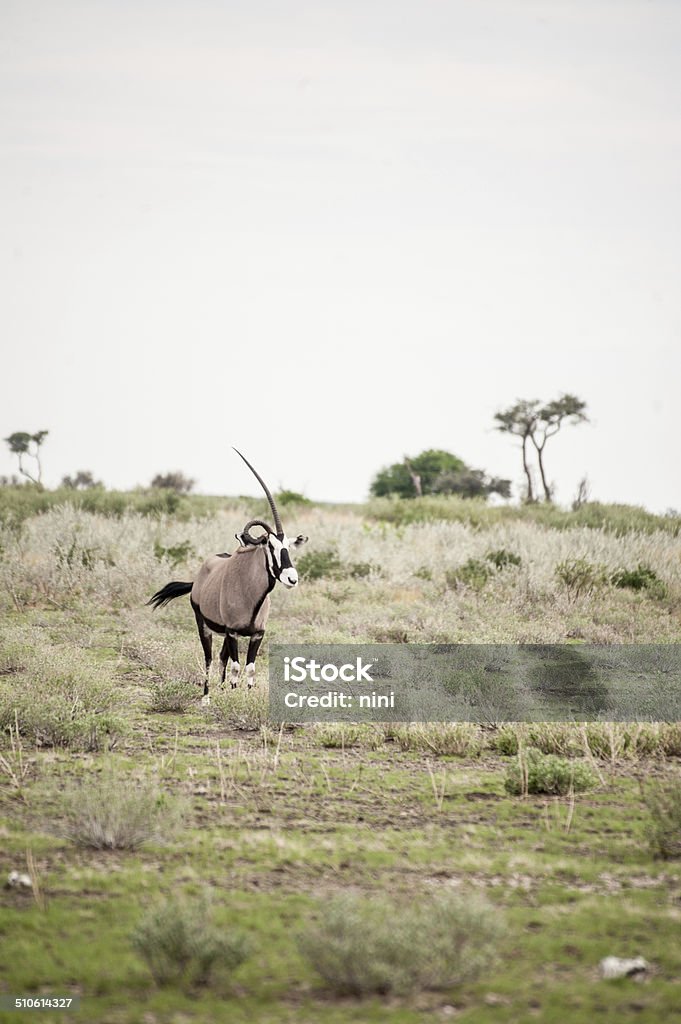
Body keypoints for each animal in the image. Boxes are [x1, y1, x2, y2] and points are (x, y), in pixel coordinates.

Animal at [150, 450, 309, 704]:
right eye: (270, 545)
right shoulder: (233, 632)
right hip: (204, 625)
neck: (251, 593)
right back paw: (206, 697)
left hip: (223, 633)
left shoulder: (256, 634)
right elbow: (235, 668)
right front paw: (232, 698)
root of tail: (199, 577)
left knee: (222, 657)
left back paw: (221, 689)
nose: (291, 578)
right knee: (209, 658)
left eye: (288, 547)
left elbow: (250, 669)